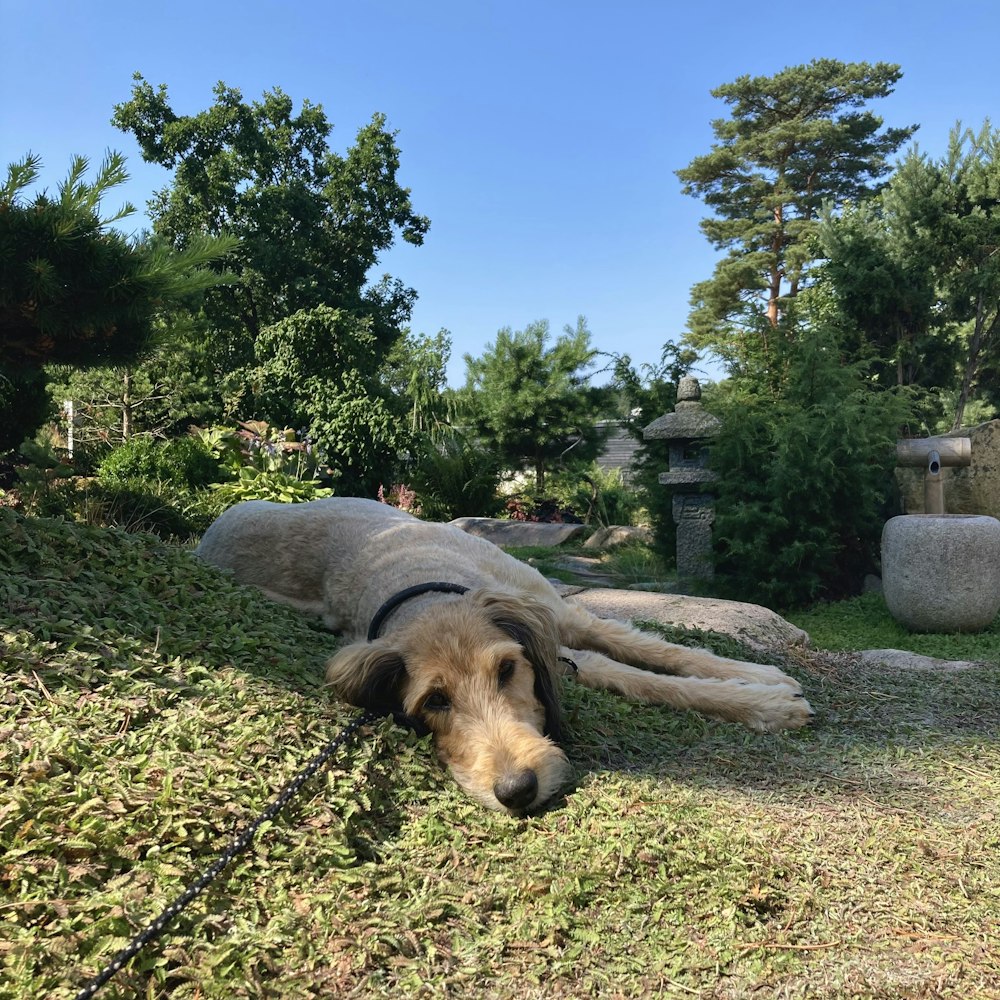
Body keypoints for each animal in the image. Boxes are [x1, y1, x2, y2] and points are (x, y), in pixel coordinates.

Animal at [195, 496, 812, 816]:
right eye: (434, 702)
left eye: (508, 669)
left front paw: (762, 689)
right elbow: (625, 672)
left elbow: (650, 653)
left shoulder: (556, 614)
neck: (420, 584)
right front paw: (761, 699)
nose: (517, 791)